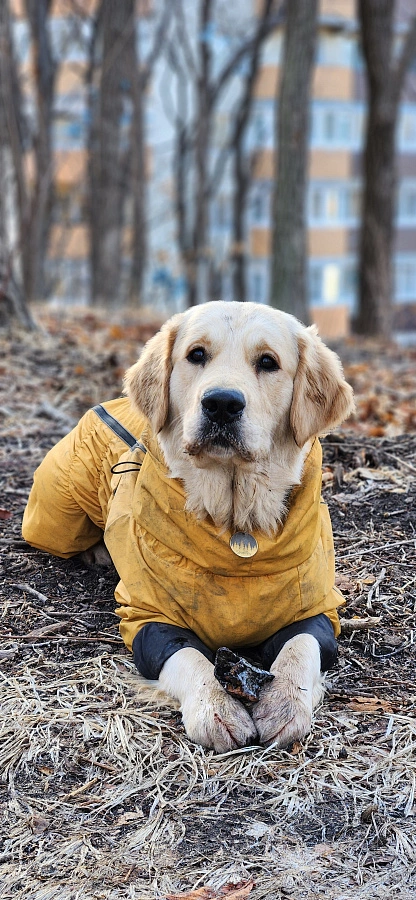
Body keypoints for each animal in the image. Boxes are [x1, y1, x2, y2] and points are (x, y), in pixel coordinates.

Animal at [22, 302, 354, 752]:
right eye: (196, 355)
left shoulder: (316, 610)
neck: (235, 525)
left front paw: (286, 702)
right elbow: (189, 657)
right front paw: (215, 707)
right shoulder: (149, 617)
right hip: (59, 515)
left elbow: (301, 647)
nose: (222, 403)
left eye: (268, 362)